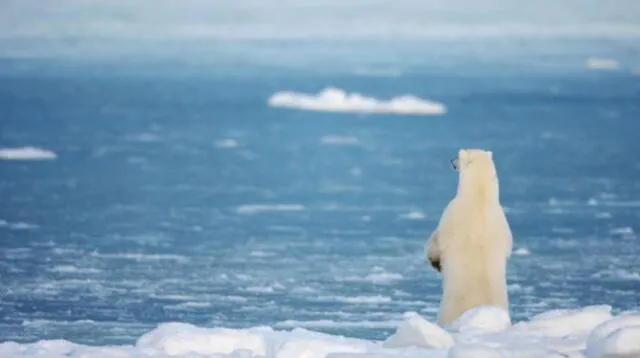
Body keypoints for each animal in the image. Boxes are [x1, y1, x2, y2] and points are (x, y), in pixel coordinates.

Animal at [428, 148, 512, 328]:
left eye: (458, 155)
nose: (451, 161)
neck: (479, 197)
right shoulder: (503, 223)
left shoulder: (451, 213)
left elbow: (437, 241)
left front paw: (435, 262)